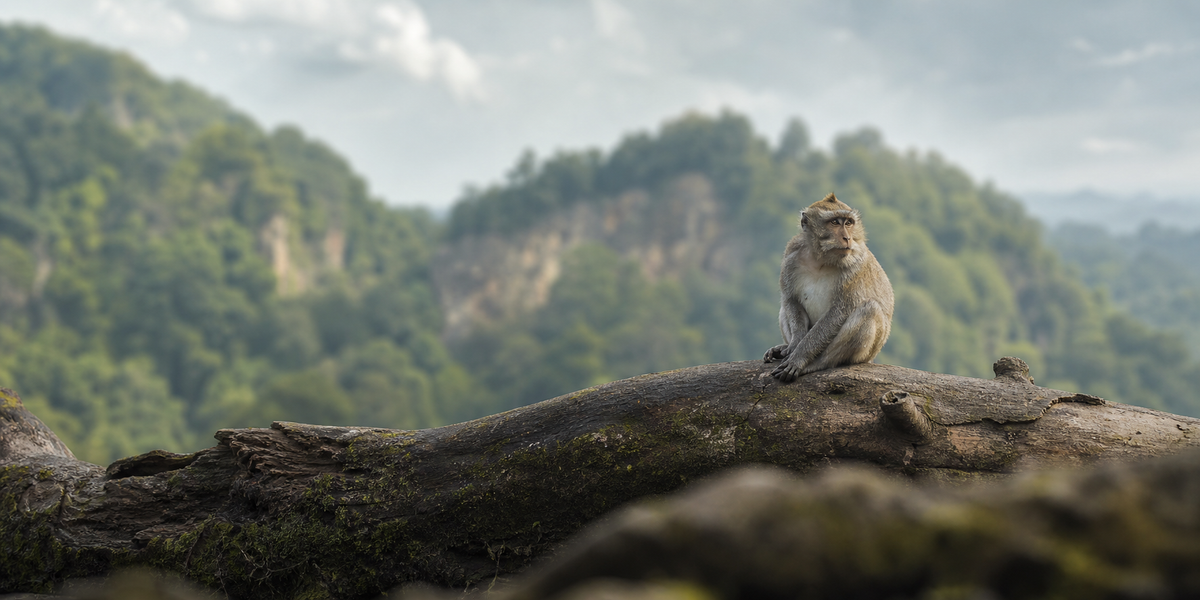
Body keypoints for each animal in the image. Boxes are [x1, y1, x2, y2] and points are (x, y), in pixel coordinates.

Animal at [763, 192, 894, 382]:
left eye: (848, 223)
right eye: (834, 222)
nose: (847, 238)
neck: (821, 259)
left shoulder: (854, 267)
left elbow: (838, 313)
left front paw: (798, 358)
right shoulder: (790, 257)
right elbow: (791, 300)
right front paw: (793, 346)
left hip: (867, 353)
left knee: (869, 308)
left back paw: (817, 363)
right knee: (785, 306)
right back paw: (782, 349)